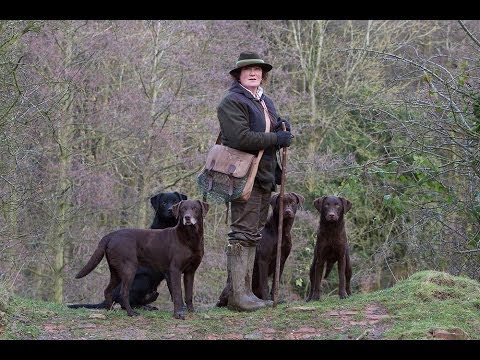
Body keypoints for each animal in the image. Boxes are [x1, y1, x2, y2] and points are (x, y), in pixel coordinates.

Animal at [73, 198, 208, 320]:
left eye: (195, 209)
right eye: (183, 209)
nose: (187, 217)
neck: (190, 238)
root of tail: (110, 235)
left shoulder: (190, 272)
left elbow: (189, 294)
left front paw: (192, 312)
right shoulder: (174, 271)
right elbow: (177, 294)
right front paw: (178, 315)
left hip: (116, 271)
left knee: (107, 290)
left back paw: (109, 310)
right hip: (130, 269)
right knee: (124, 293)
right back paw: (131, 313)